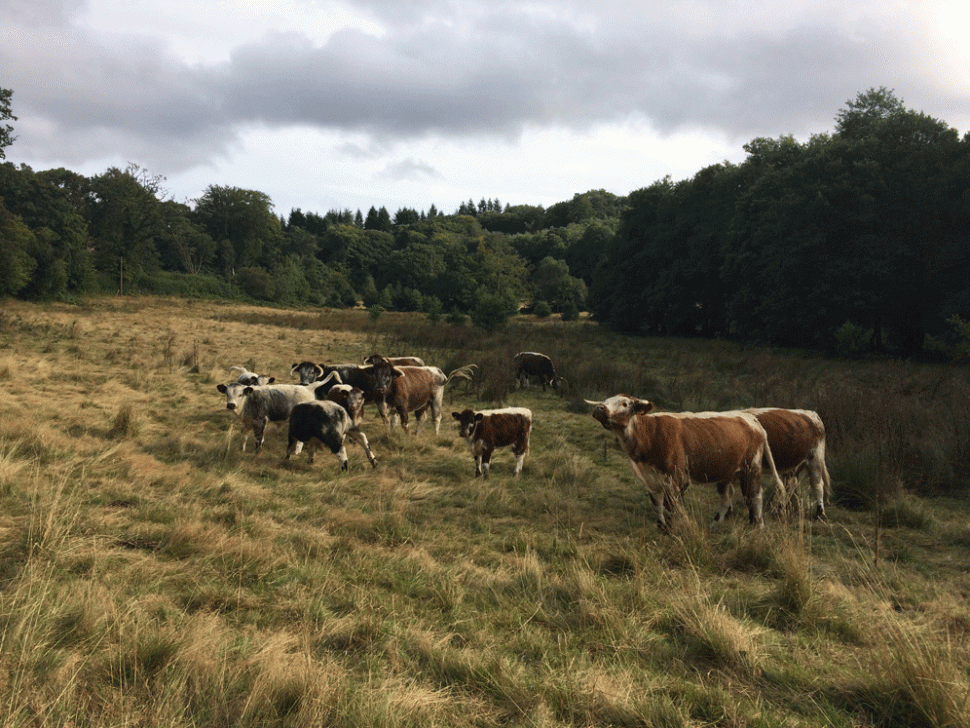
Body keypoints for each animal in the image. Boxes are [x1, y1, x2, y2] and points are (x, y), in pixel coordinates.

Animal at [584, 392, 788, 528]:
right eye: (604, 401)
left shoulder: (675, 477)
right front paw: (661, 527)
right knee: (726, 497)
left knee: (754, 496)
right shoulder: (650, 479)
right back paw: (715, 524)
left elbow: (670, 505)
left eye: (625, 403)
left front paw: (670, 530)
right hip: (725, 472)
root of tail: (751, 419)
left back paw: (757, 526)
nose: (599, 409)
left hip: (751, 468)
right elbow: (657, 504)